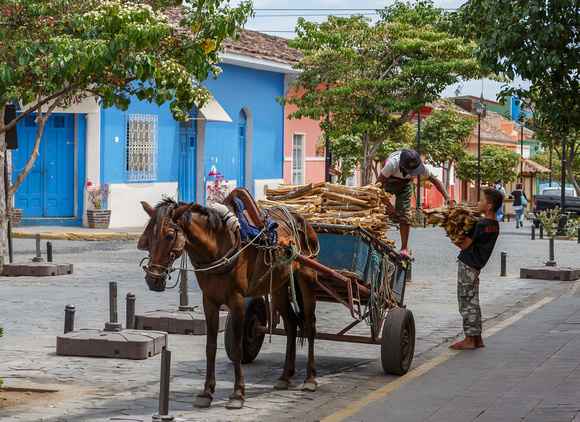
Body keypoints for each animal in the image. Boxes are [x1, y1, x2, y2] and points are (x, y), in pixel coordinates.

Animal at [139, 190, 322, 410]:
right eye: (147, 237)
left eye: (168, 235)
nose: (153, 279)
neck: (217, 245)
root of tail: (302, 219)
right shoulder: (209, 300)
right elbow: (210, 347)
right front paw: (207, 392)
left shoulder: (236, 301)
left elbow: (237, 348)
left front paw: (238, 394)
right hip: (278, 287)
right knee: (291, 325)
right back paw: (285, 376)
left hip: (307, 279)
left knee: (310, 327)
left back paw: (310, 378)